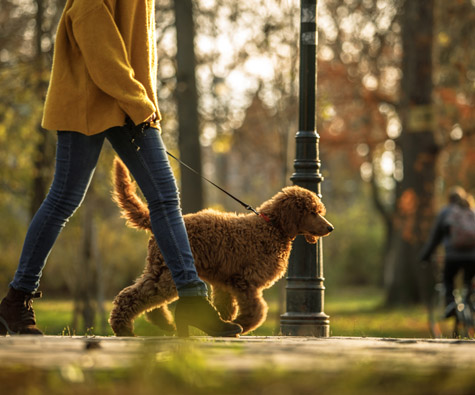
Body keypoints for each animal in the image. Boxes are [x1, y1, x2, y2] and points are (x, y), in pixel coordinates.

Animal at [109, 159, 334, 338]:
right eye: (312, 212)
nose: (330, 228)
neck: (271, 226)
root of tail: (152, 220)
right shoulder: (244, 281)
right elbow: (257, 310)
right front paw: (242, 324)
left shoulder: (225, 282)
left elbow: (226, 307)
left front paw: (223, 324)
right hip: (167, 272)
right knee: (133, 296)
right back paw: (123, 329)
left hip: (161, 269)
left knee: (148, 298)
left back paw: (164, 323)